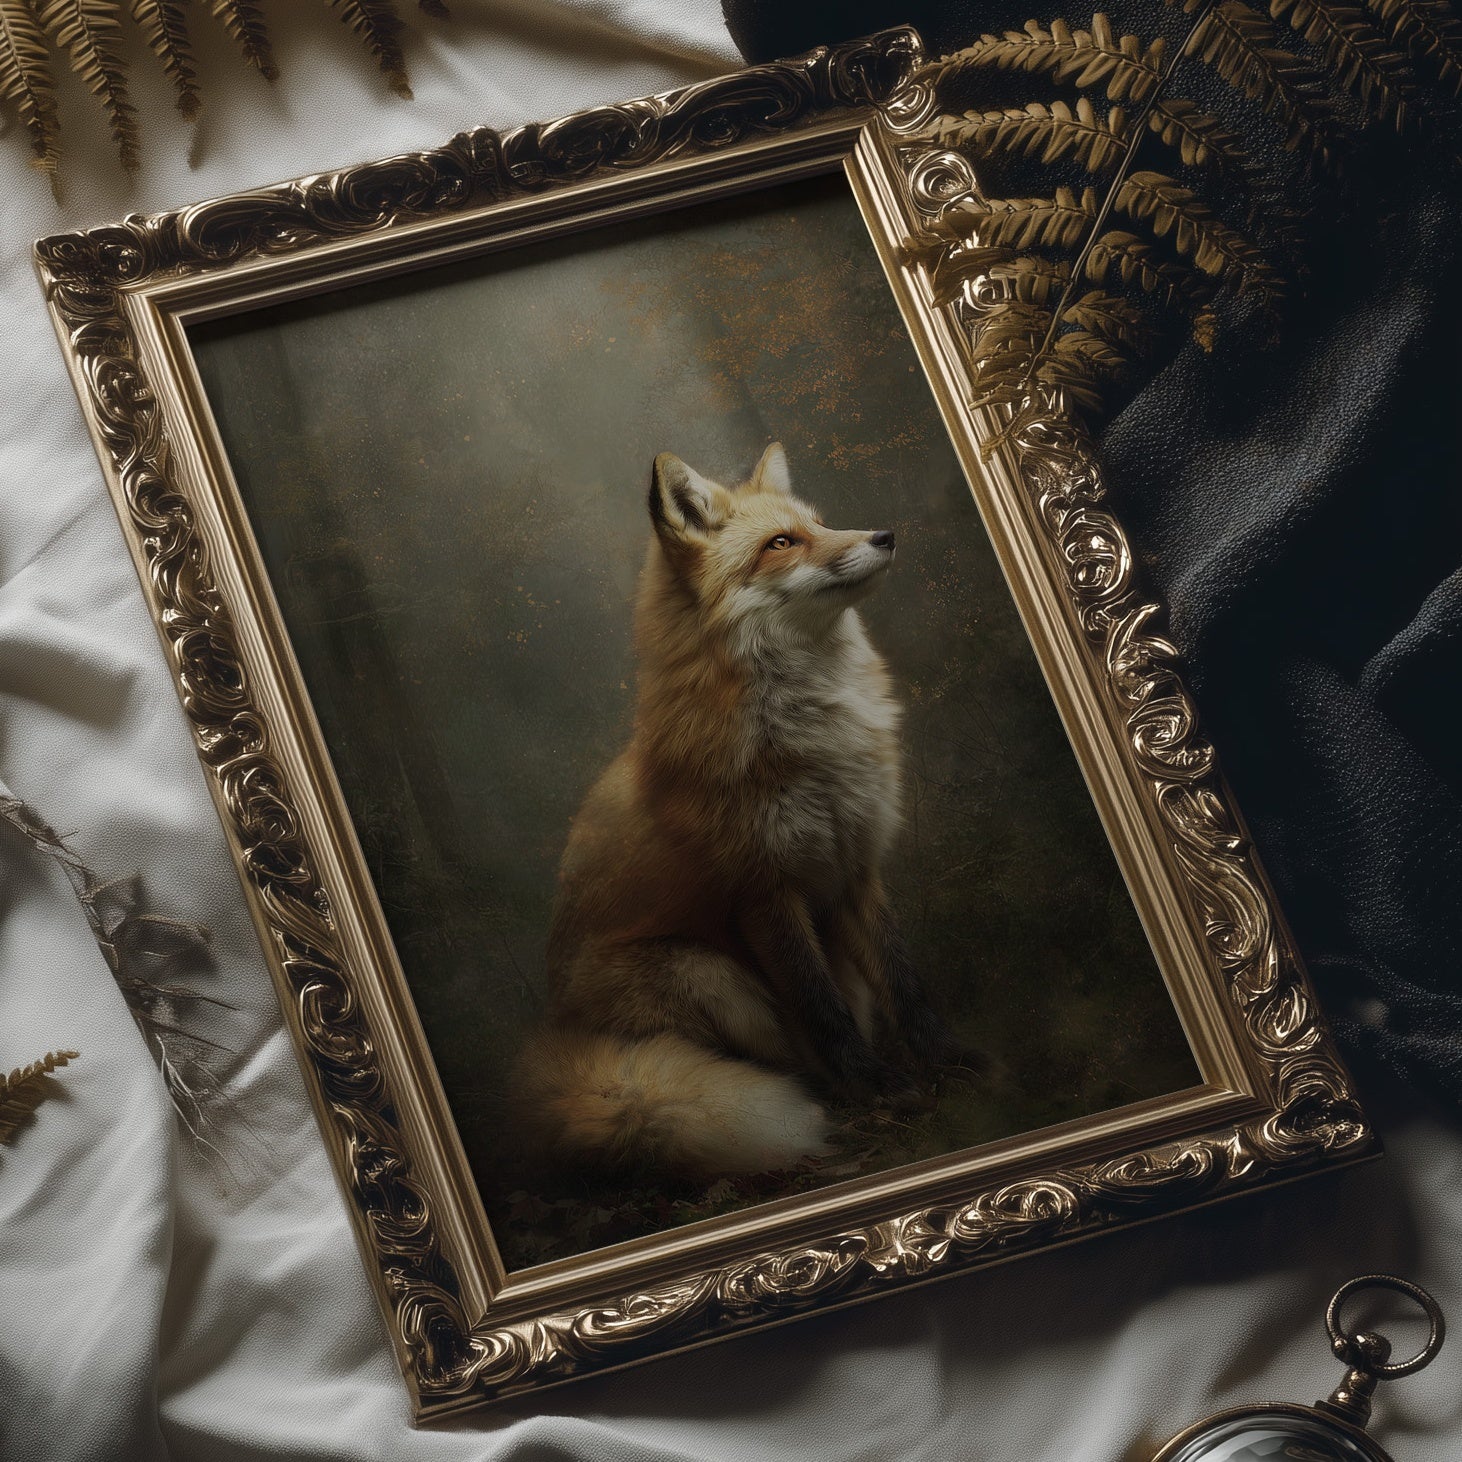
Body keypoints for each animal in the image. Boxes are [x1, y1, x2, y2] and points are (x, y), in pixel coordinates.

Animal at [513, 443, 949, 1180]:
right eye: (781, 543)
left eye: (819, 523)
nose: (885, 536)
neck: (810, 736)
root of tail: (558, 1033)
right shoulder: (763, 894)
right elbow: (823, 1011)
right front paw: (880, 1086)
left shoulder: (855, 868)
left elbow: (904, 982)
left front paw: (951, 1063)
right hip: (705, 973)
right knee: (783, 1060)